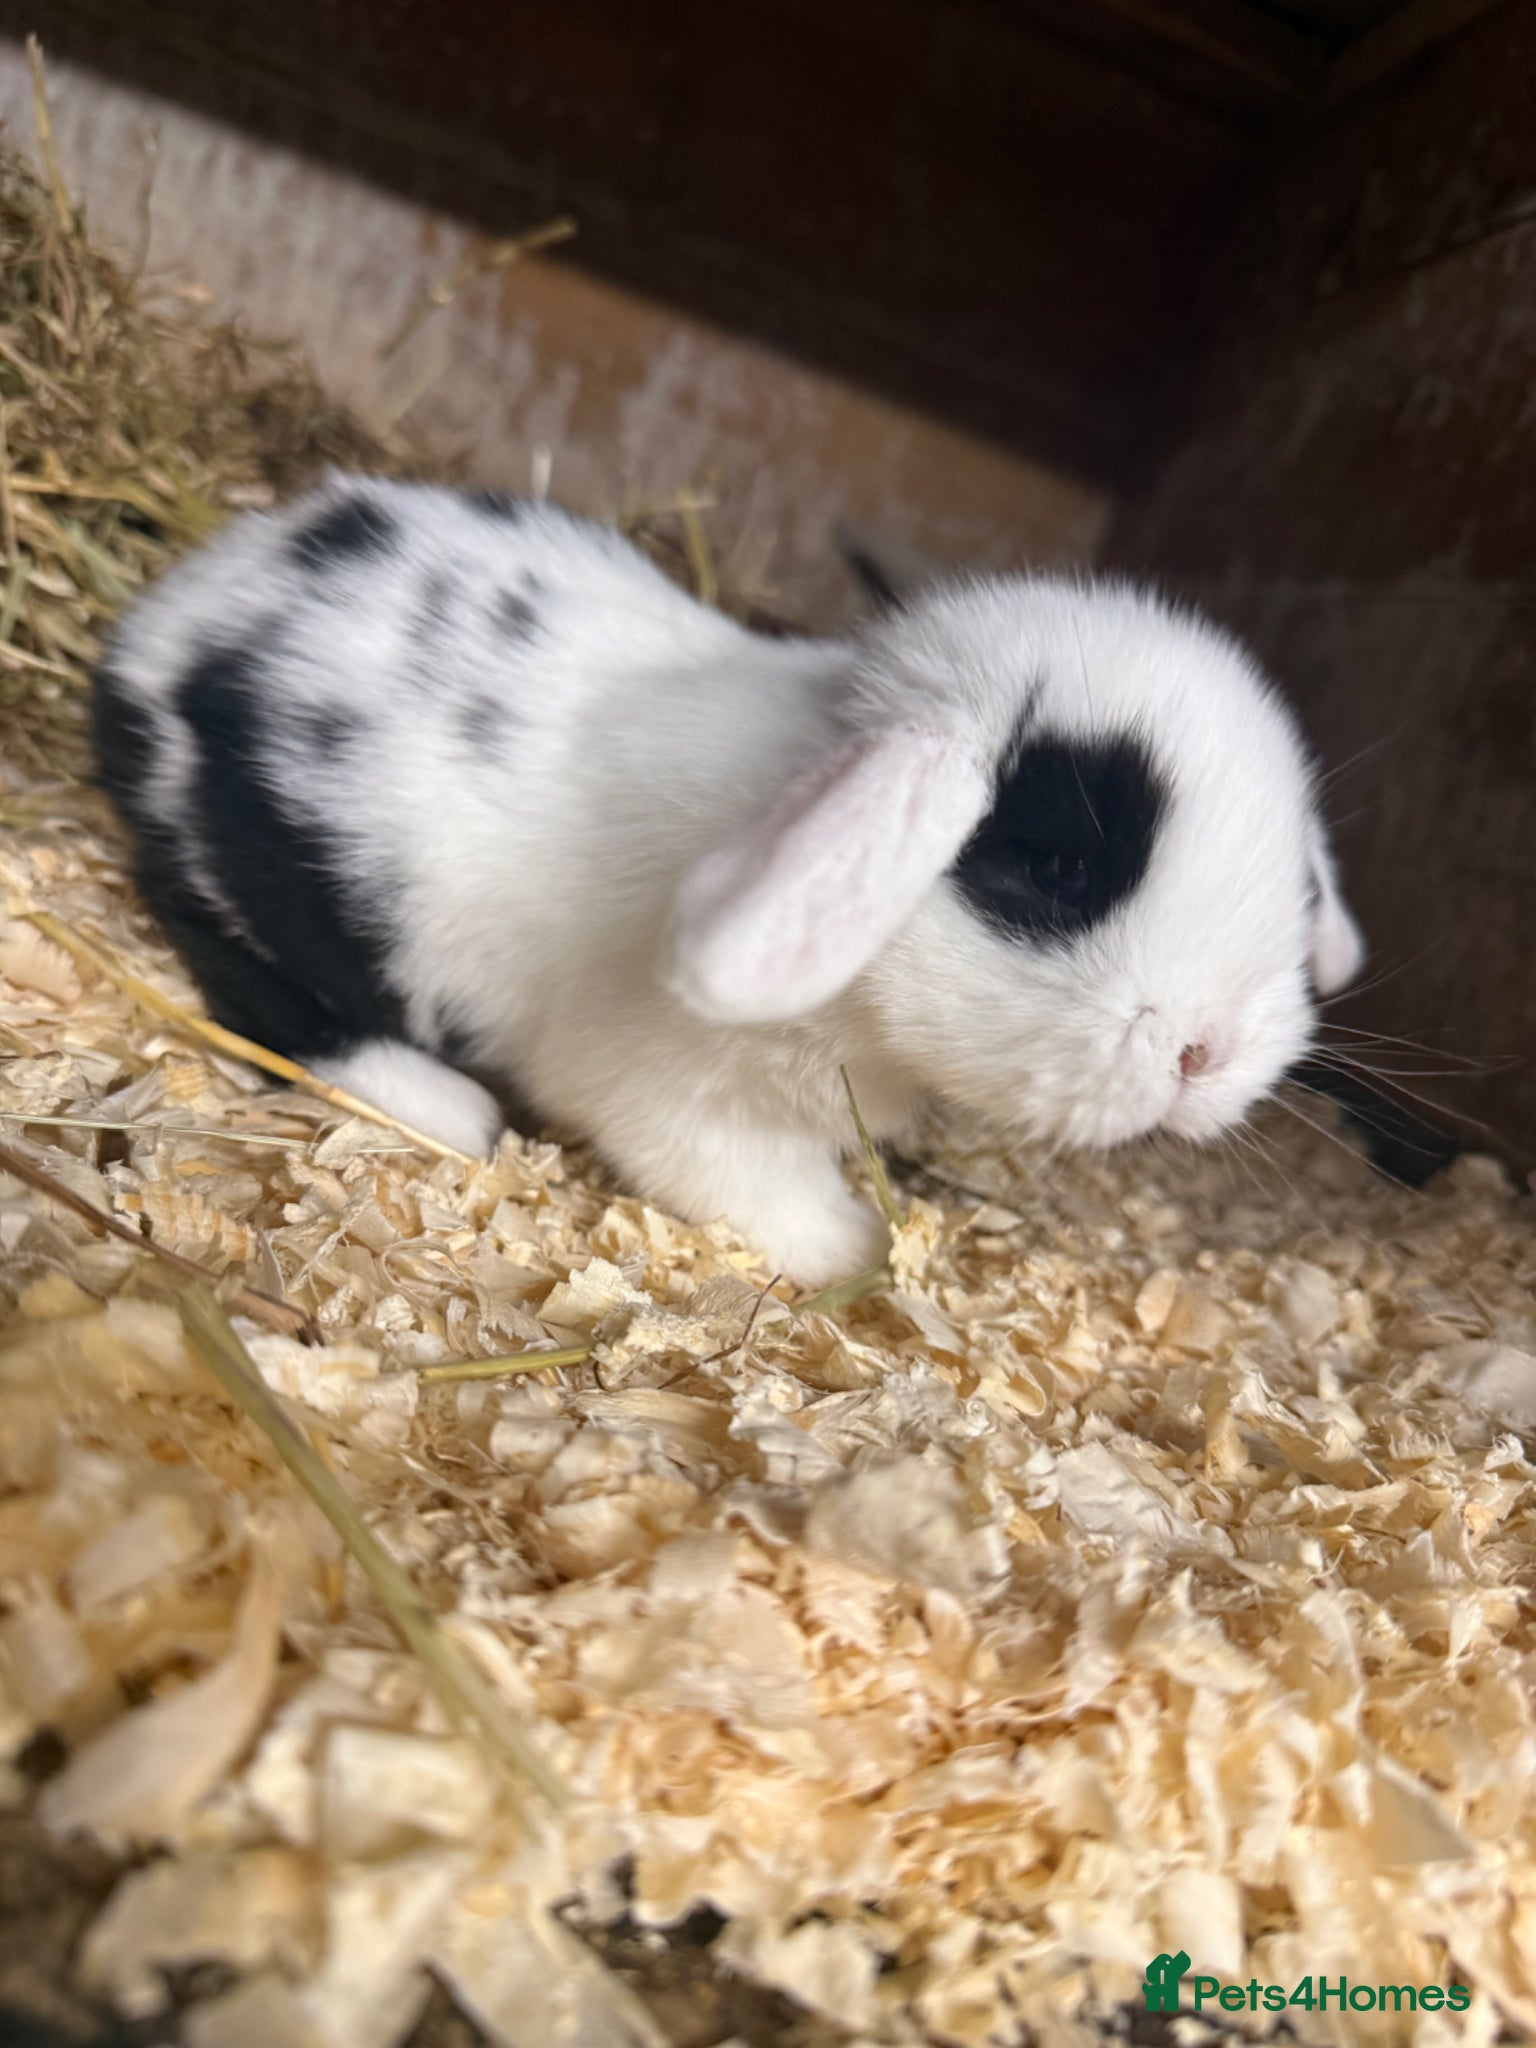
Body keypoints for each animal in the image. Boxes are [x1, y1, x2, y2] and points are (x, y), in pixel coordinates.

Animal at [91, 473, 1364, 1285]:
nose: (1207, 1055)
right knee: (248, 979)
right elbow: (754, 1184)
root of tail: (166, 631)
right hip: (265, 870)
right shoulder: (676, 1096)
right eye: (1057, 867)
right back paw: (444, 1105)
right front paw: (857, 1250)